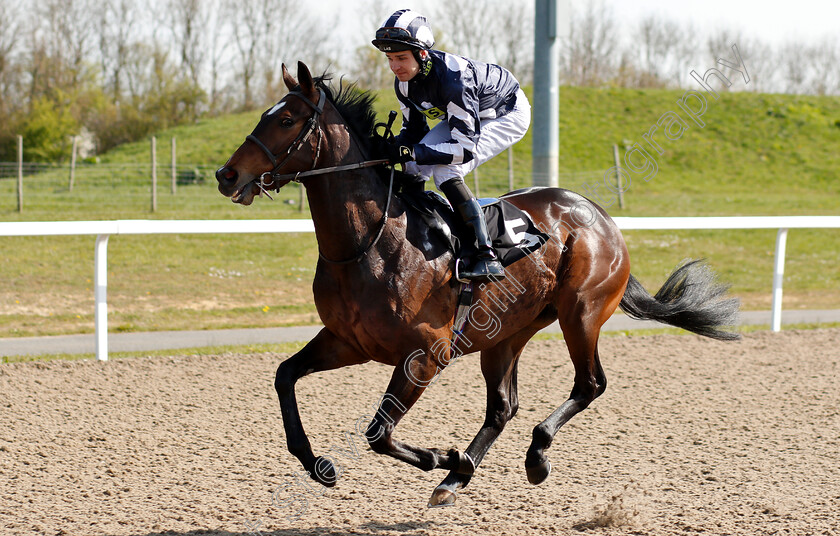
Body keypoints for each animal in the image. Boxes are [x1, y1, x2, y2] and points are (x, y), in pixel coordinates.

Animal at [213, 62, 740, 506]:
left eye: (286, 120)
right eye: (265, 115)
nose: (226, 174)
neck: (371, 242)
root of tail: (600, 215)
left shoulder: (425, 355)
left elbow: (378, 432)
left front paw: (438, 456)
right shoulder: (348, 341)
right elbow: (285, 376)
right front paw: (320, 464)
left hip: (581, 314)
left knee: (590, 384)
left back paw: (531, 456)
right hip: (507, 332)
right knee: (503, 407)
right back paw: (456, 478)